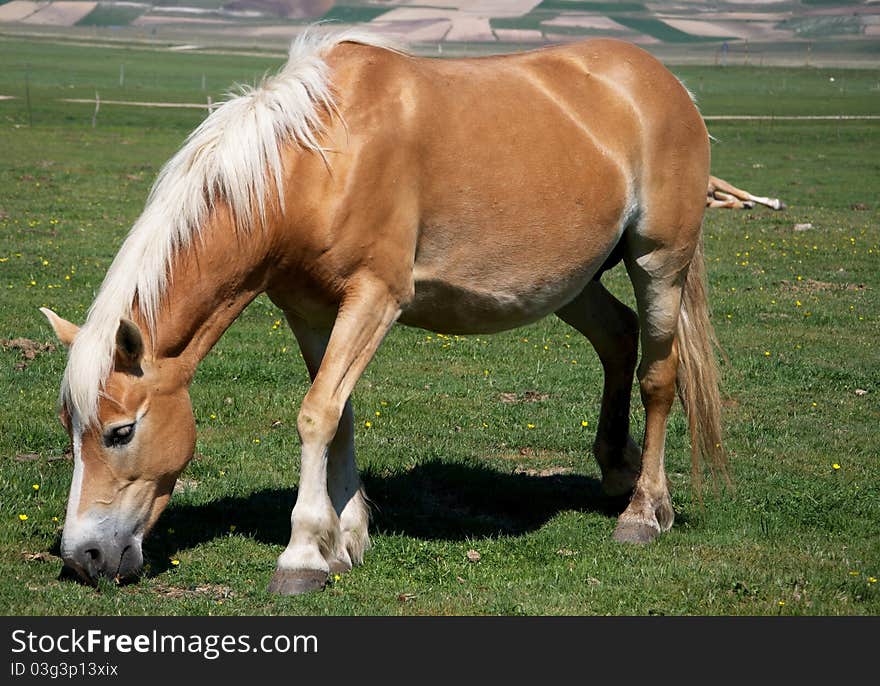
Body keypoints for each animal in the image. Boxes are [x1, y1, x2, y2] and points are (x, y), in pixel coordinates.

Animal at [41, 29, 724, 596]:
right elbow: (338, 415)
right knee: (619, 338)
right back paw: (615, 471)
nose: (83, 557)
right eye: (71, 427)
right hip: (572, 283)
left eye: (120, 432)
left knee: (659, 377)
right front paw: (343, 541)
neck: (315, 161)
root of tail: (666, 84)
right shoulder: (312, 312)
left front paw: (302, 555)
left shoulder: (374, 298)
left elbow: (316, 414)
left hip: (658, 262)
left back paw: (644, 512)